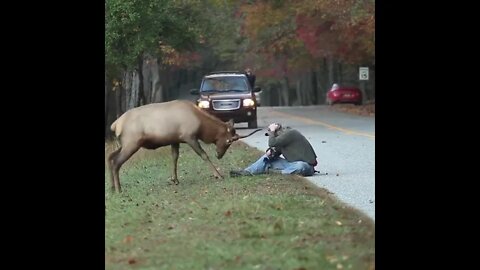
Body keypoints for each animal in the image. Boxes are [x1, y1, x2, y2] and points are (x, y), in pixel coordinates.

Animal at [108, 99, 262, 192]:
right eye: (228, 141)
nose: (219, 155)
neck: (202, 126)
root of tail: (115, 125)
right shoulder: (189, 136)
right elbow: (203, 155)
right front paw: (218, 175)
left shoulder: (175, 140)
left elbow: (174, 157)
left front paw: (174, 179)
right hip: (132, 143)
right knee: (116, 162)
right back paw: (118, 189)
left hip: (124, 144)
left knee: (110, 157)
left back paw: (112, 187)